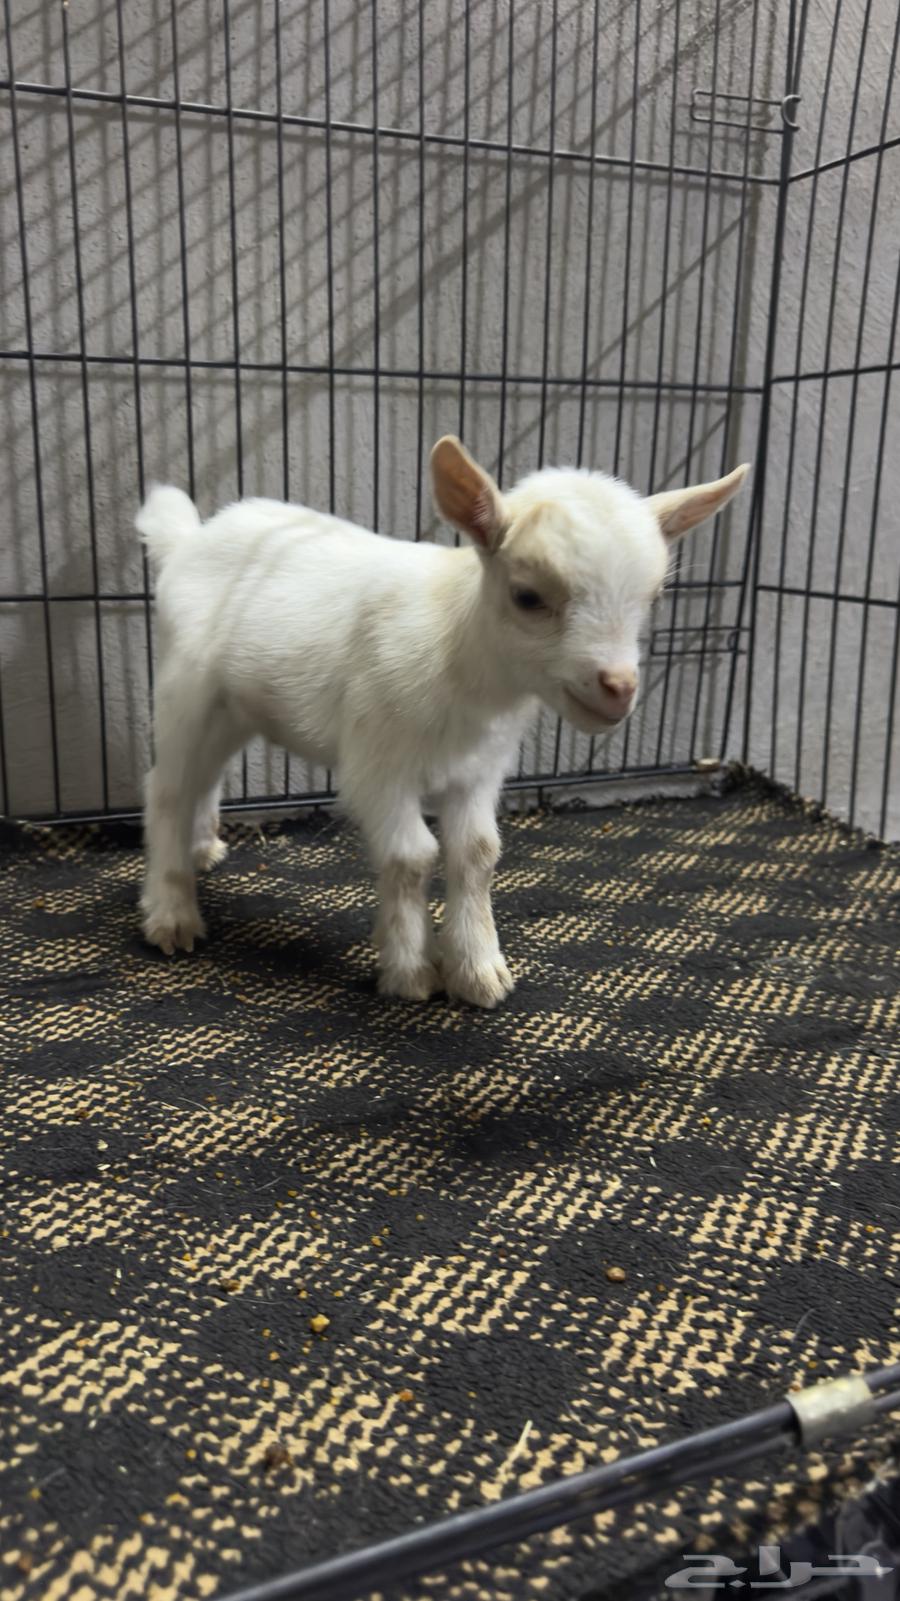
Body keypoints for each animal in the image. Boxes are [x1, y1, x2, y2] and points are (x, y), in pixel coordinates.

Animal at [136, 437, 749, 1007]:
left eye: (655, 596)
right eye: (528, 596)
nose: (618, 688)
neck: (459, 653)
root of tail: (190, 538)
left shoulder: (479, 769)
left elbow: (476, 853)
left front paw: (479, 971)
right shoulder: (378, 767)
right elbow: (412, 857)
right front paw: (411, 972)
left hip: (234, 707)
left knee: (207, 775)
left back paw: (202, 848)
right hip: (185, 687)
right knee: (166, 787)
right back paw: (171, 914)